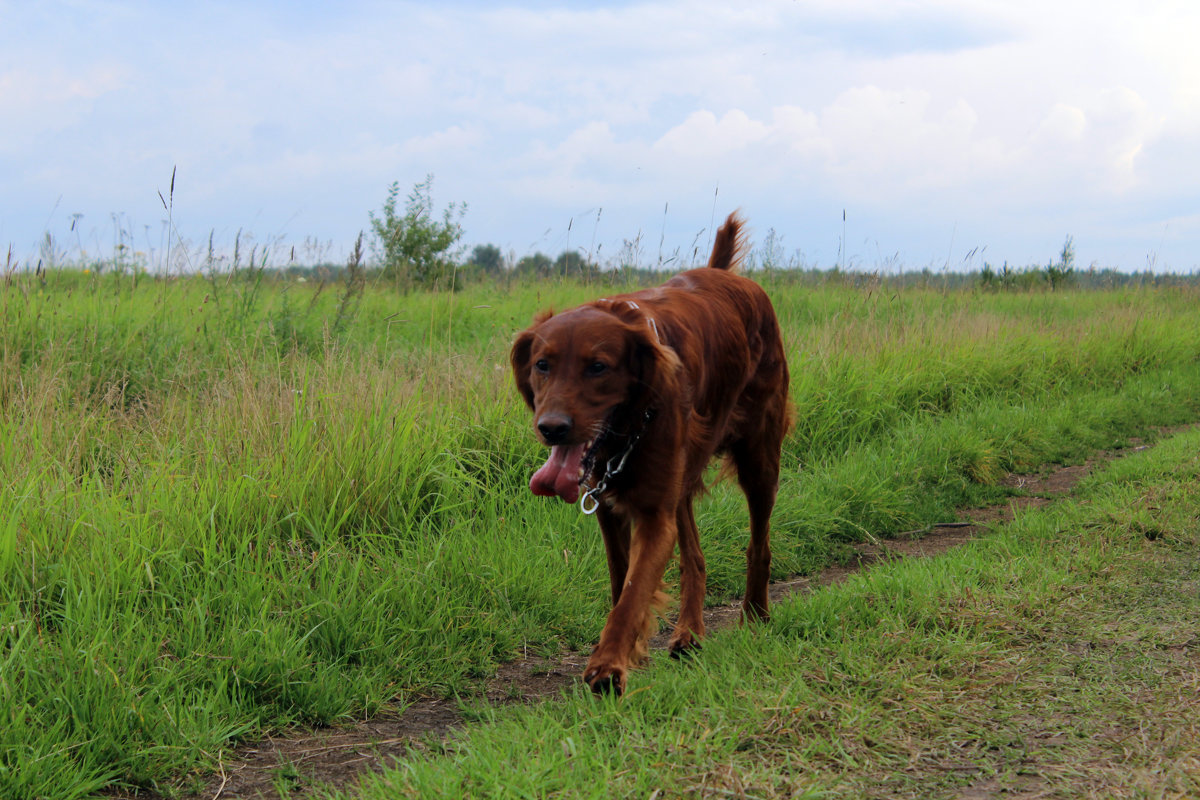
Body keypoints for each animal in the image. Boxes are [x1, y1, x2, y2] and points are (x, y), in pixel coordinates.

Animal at [511, 212, 792, 695]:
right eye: (542, 364)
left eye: (598, 366)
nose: (552, 428)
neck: (629, 426)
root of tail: (726, 275)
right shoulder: (611, 508)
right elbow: (621, 582)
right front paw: (624, 652)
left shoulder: (654, 515)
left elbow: (633, 593)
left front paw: (608, 667)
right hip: (681, 479)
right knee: (695, 557)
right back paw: (690, 632)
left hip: (759, 460)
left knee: (760, 542)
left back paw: (755, 615)